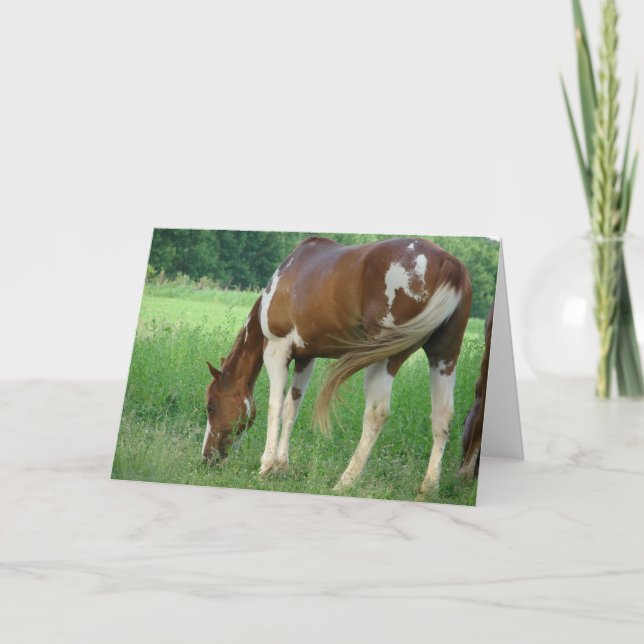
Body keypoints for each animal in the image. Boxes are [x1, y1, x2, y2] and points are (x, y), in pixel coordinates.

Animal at [202, 235, 472, 496]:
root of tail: (449, 263)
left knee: (376, 414)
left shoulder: (277, 350)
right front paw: (281, 466)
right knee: (442, 416)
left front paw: (266, 466)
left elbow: (274, 407)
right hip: (443, 357)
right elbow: (291, 408)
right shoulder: (305, 359)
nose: (206, 459)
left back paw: (346, 481)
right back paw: (429, 486)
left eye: (211, 407)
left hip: (386, 357)